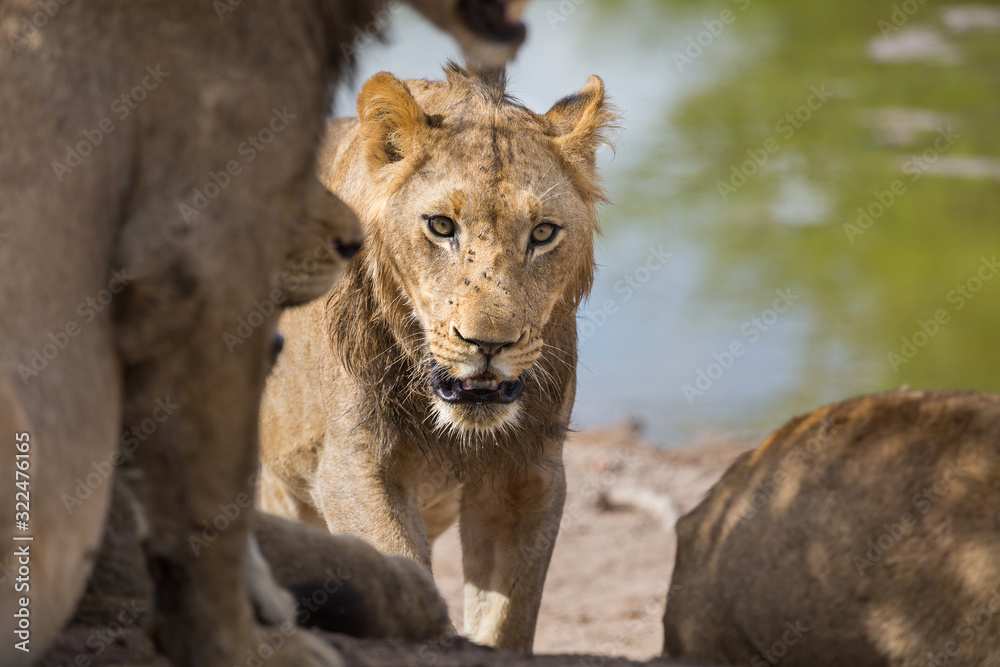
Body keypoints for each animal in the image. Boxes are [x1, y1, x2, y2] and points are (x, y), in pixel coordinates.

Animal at [258, 63, 618, 653]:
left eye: (543, 233)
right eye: (442, 226)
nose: (489, 344)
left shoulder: (529, 473)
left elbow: (507, 616)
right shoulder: (353, 465)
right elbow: (400, 564)